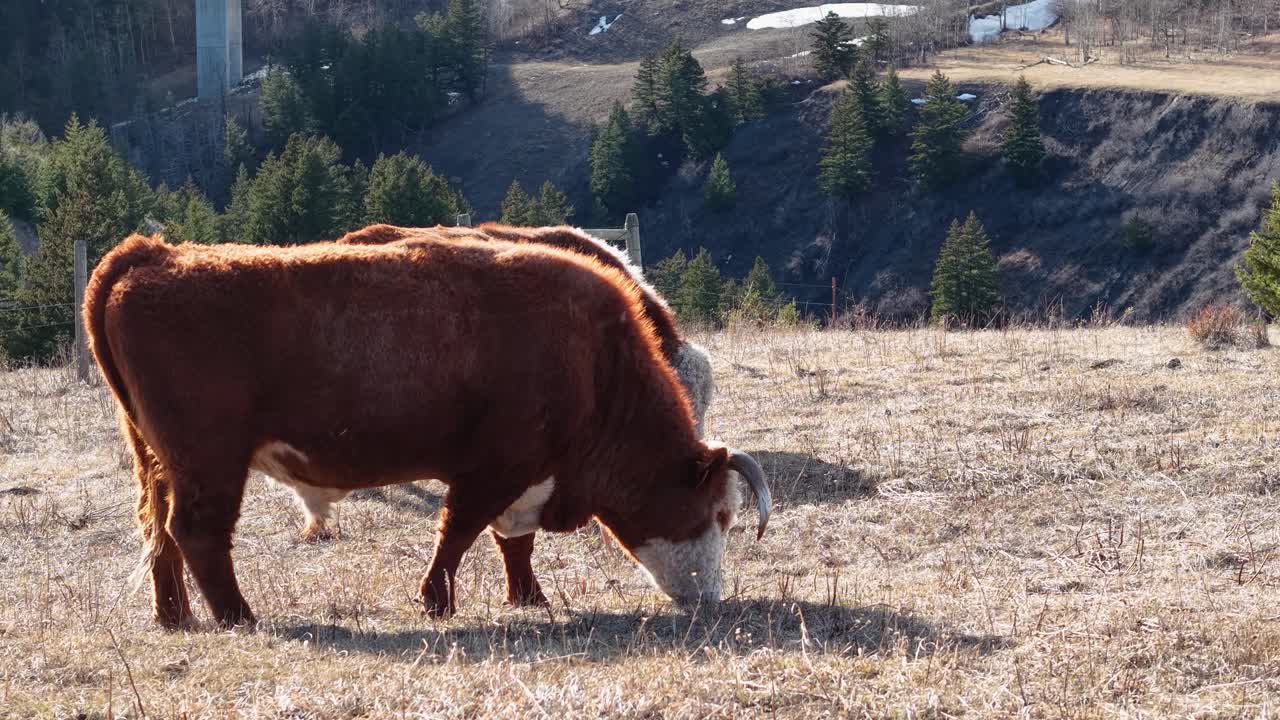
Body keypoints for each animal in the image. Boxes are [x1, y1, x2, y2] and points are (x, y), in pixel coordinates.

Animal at [85, 233, 770, 628]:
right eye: (721, 514)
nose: (709, 600)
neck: (595, 360)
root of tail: (153, 254)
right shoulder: (495, 468)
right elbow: (460, 532)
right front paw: (437, 602)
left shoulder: (525, 476)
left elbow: (511, 540)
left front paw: (529, 597)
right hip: (210, 463)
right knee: (197, 533)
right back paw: (237, 616)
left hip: (159, 462)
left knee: (160, 533)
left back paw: (174, 617)